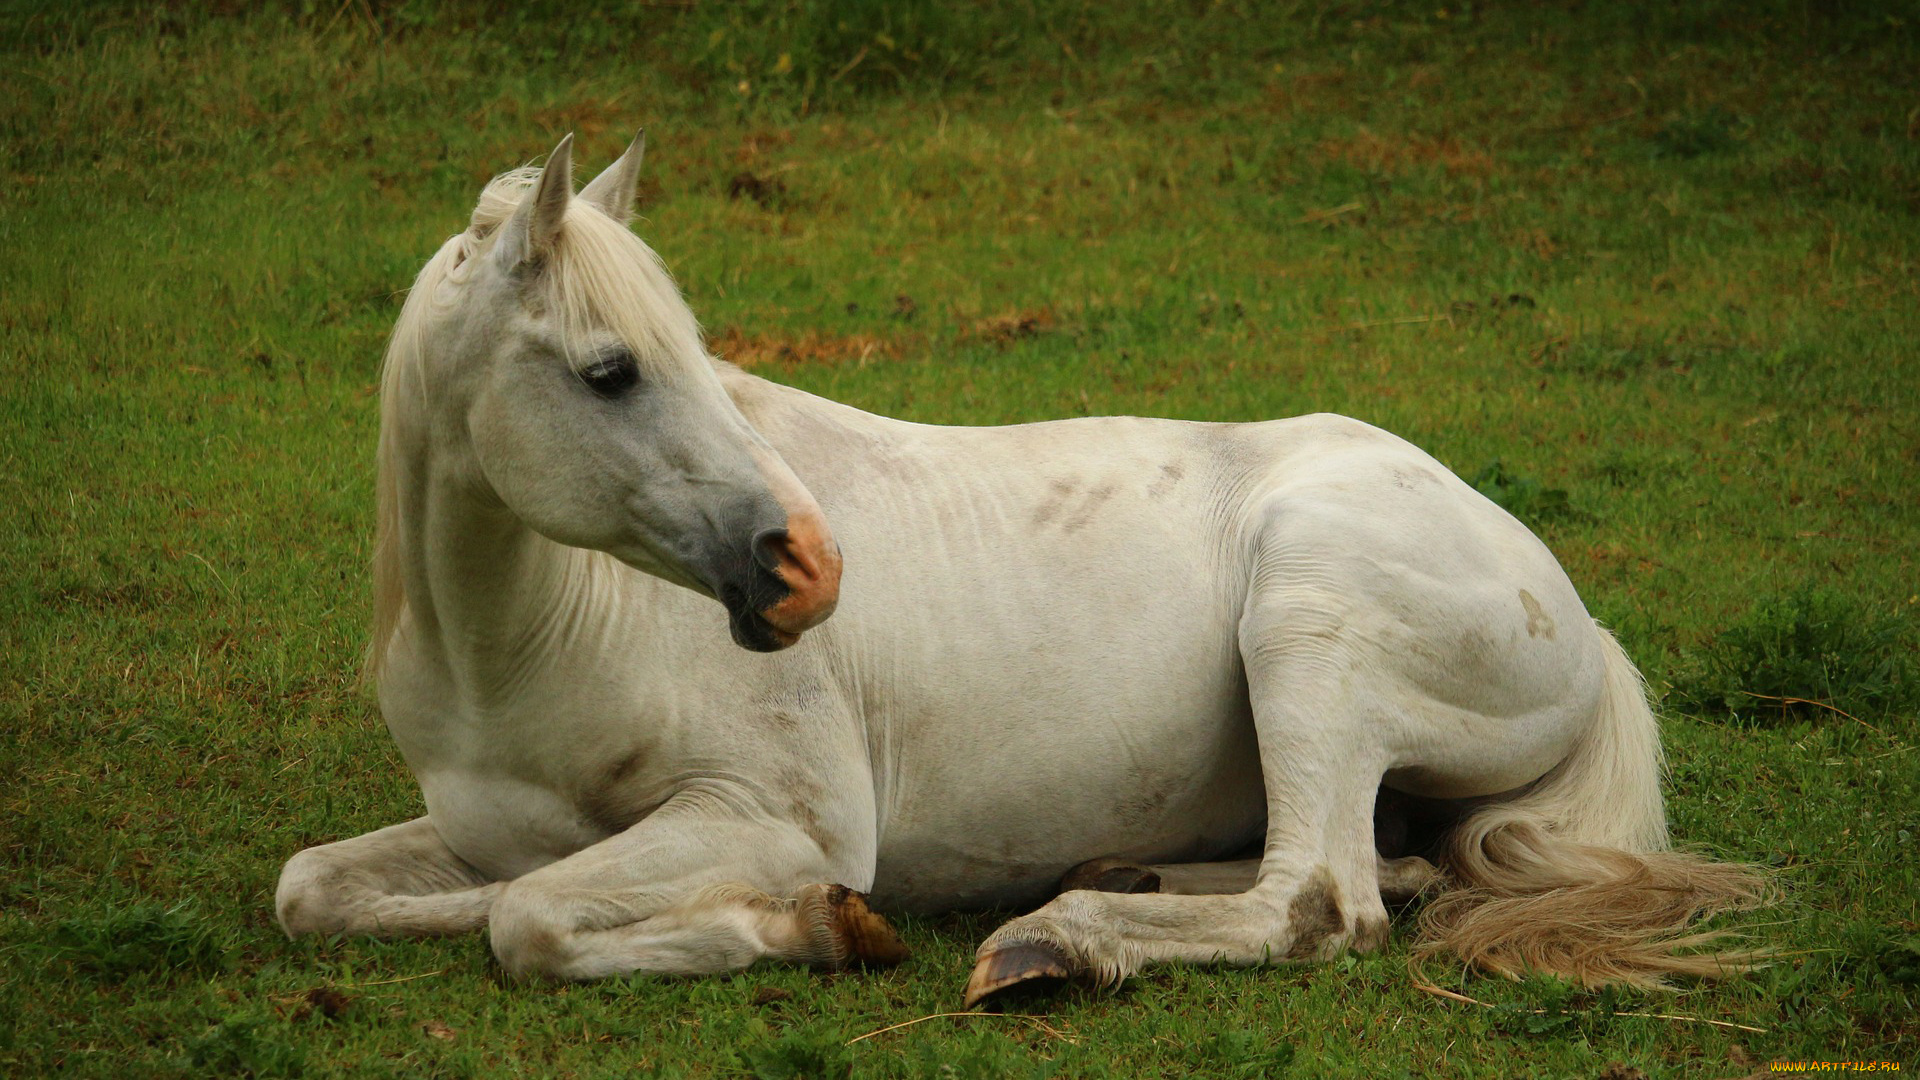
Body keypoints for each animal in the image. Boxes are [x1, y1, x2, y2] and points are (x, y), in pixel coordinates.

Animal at [275, 132, 1767, 1002]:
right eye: (609, 371)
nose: (809, 569)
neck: (521, 646)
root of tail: (1566, 605)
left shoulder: (780, 814)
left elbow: (526, 920)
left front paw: (818, 925)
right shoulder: (485, 828)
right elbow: (330, 893)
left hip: (1308, 625)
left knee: (1321, 902)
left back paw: (1066, 938)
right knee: (1379, 870)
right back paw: (1130, 883)